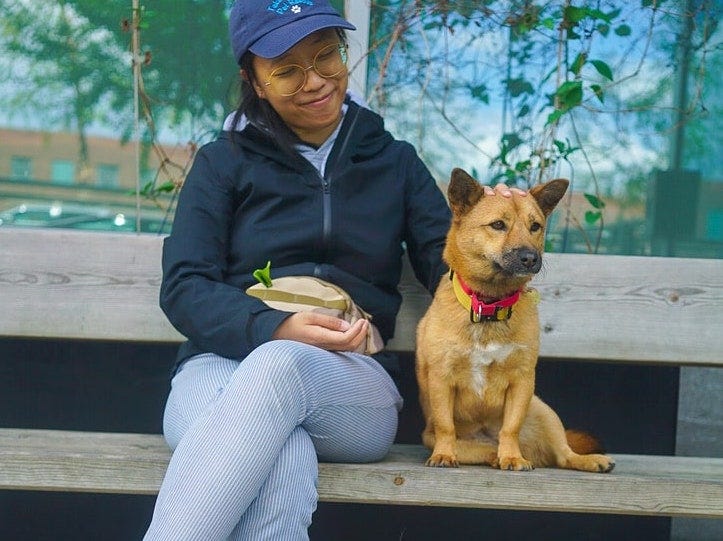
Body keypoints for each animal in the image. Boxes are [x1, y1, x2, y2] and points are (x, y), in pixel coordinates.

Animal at [416, 169, 612, 472]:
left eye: (535, 226)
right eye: (498, 225)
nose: (530, 258)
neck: (489, 306)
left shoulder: (522, 381)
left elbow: (511, 427)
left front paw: (512, 457)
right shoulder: (441, 379)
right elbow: (446, 426)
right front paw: (444, 455)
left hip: (544, 412)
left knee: (563, 455)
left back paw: (585, 460)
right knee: (484, 451)